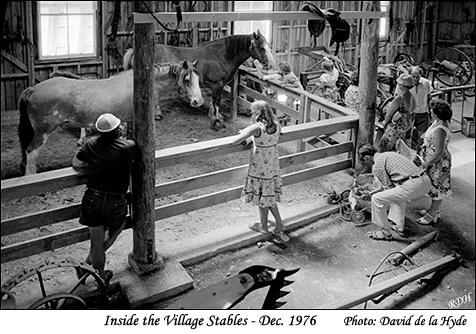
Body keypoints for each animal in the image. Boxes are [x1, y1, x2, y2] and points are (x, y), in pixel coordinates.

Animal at [18, 60, 203, 175]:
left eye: (198, 78)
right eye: (187, 79)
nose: (198, 101)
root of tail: (33, 89)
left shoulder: (127, 120)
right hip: (43, 131)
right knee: (31, 153)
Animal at [122, 30, 276, 130]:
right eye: (262, 47)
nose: (271, 65)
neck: (221, 55)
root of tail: (134, 51)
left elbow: (214, 103)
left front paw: (215, 117)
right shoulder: (217, 84)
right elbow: (216, 103)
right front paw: (216, 122)